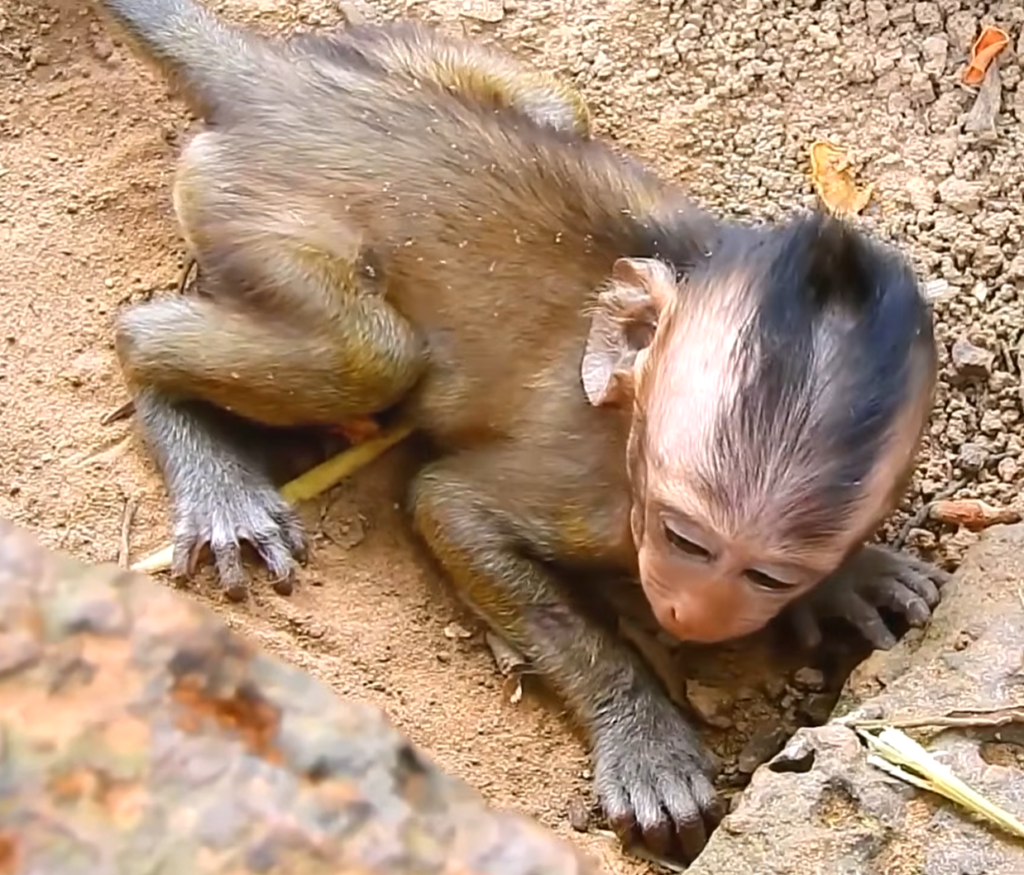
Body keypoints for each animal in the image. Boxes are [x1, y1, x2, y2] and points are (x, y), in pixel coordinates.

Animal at [97, 0, 949, 863]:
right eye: (686, 540)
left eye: (771, 576)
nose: (692, 612)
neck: (632, 425)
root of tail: (276, 85)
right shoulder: (589, 489)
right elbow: (449, 507)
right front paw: (642, 733)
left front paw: (849, 575)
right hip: (248, 206)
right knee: (366, 355)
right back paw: (186, 422)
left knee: (558, 109)